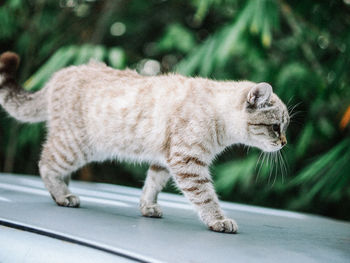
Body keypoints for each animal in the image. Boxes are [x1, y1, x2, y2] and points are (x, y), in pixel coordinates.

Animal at [0, 51, 288, 233]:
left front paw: (147, 207)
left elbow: (152, 185)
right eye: (276, 127)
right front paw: (219, 221)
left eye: (284, 127)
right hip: (76, 146)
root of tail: (60, 74)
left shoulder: (165, 160)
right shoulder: (188, 163)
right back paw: (63, 196)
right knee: (46, 164)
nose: (284, 142)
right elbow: (206, 198)